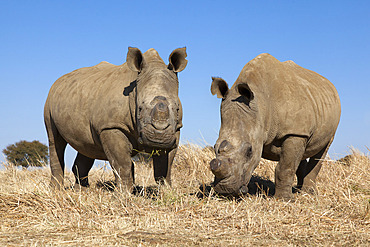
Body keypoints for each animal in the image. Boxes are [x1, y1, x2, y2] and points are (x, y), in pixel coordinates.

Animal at [44, 48, 186, 191]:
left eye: (177, 109)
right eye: (139, 109)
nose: (158, 138)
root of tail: (58, 81)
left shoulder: (176, 129)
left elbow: (165, 166)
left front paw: (167, 191)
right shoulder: (111, 126)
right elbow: (122, 164)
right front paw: (124, 193)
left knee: (86, 145)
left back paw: (82, 190)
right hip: (49, 101)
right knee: (54, 140)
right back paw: (55, 190)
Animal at [211, 53, 342, 200]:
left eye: (249, 151)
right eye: (214, 147)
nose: (225, 190)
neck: (261, 106)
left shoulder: (294, 132)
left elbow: (285, 167)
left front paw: (284, 199)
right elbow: (291, 162)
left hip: (329, 123)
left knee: (322, 150)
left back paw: (308, 193)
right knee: (302, 154)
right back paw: (298, 190)